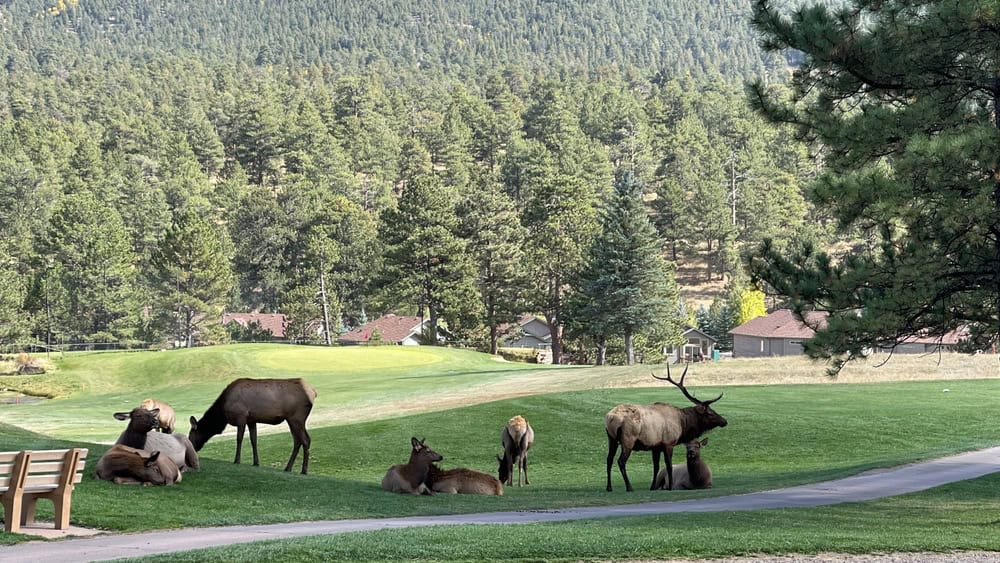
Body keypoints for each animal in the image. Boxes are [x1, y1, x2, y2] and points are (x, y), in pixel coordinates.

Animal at [186, 378, 314, 476]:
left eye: (190, 436)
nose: (191, 451)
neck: (222, 414)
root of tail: (314, 393)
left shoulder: (241, 416)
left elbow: (239, 439)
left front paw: (237, 460)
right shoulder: (251, 420)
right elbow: (253, 440)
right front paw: (256, 462)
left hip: (296, 417)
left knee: (305, 440)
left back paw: (304, 470)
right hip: (292, 419)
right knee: (298, 441)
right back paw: (288, 468)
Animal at [600, 364, 728, 492]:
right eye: (710, 412)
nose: (724, 421)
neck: (683, 423)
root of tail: (610, 417)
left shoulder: (655, 447)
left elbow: (656, 467)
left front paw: (652, 487)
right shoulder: (669, 443)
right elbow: (669, 465)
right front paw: (670, 487)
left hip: (611, 438)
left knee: (609, 459)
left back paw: (609, 487)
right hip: (628, 439)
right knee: (621, 461)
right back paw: (629, 487)